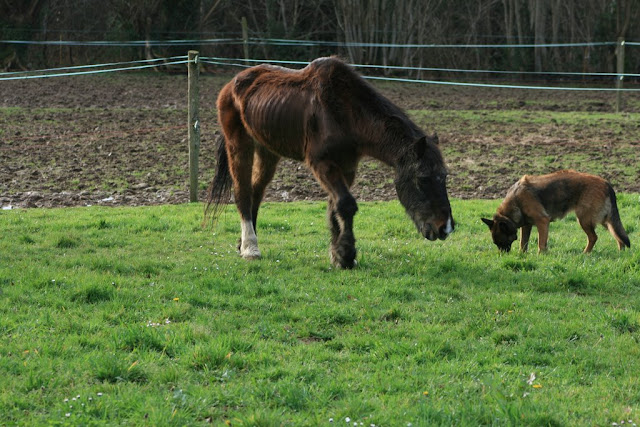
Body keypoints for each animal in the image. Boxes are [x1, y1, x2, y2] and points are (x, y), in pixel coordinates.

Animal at [208, 56, 452, 270]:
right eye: (422, 179)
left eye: (444, 177)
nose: (445, 228)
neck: (345, 112)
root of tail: (231, 84)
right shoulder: (322, 164)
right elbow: (346, 204)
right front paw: (346, 255)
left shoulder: (347, 167)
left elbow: (336, 207)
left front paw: (337, 254)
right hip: (239, 144)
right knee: (243, 192)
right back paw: (250, 248)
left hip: (267, 151)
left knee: (256, 192)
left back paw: (243, 244)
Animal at [482, 171, 628, 254]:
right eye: (496, 243)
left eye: (501, 242)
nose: (503, 256)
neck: (516, 200)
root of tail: (606, 183)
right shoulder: (527, 226)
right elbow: (523, 243)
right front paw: (522, 255)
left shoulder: (542, 221)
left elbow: (541, 243)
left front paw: (541, 256)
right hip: (606, 220)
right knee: (618, 235)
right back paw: (621, 253)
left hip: (584, 220)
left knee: (594, 237)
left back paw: (585, 253)